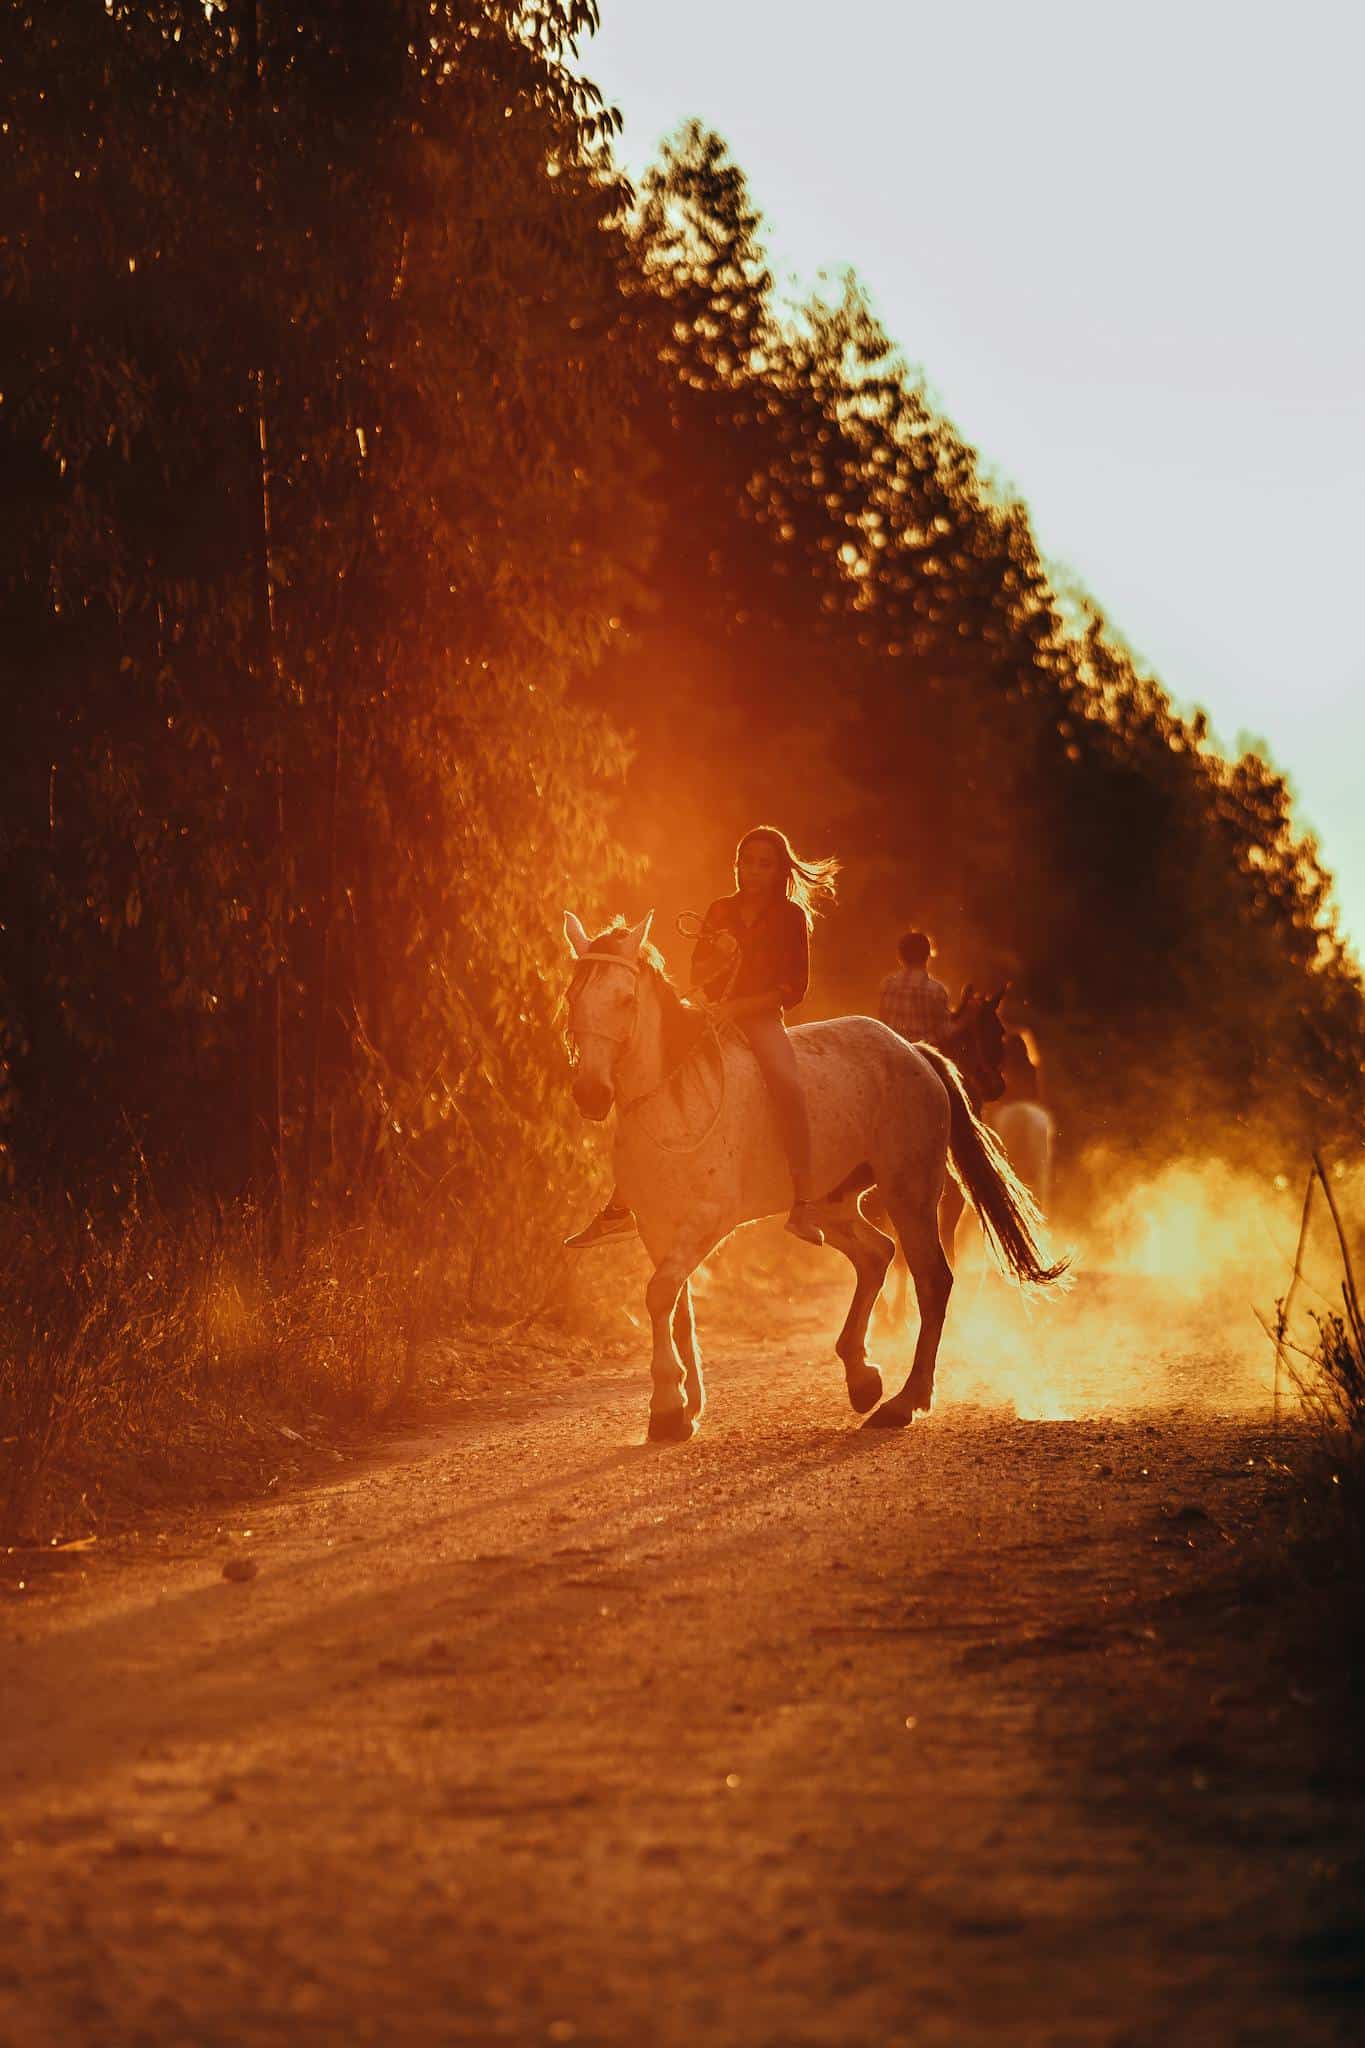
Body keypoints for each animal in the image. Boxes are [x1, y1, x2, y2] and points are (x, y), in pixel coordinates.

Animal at [560, 913, 1072, 1441]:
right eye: (574, 997)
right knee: (877, 1255)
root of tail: (914, 1053)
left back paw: (902, 1402)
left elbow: (660, 1293)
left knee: (932, 1280)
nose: (590, 1093)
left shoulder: (707, 1220)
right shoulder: (656, 1227)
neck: (672, 1099)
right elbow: (676, 1306)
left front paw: (666, 1407)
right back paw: (863, 1379)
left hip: (909, 1193)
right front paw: (684, 1407)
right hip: (837, 1203)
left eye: (625, 999)